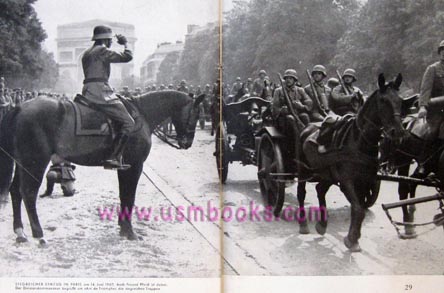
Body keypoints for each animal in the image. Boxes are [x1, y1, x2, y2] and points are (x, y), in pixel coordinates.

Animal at [0, 90, 205, 244]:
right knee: (28, 193)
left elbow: (124, 196)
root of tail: (19, 107)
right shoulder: (135, 166)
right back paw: (39, 235)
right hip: (35, 162)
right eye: (195, 114)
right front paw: (130, 232)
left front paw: (123, 228)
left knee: (15, 192)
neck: (141, 114)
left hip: (22, 163)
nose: (187, 143)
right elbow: (129, 197)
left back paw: (20, 232)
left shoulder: (124, 167)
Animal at [296, 73, 404, 251]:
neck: (359, 140)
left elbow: (359, 209)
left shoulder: (364, 181)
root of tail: (307, 127)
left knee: (320, 189)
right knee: (301, 193)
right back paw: (303, 224)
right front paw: (352, 239)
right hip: (303, 170)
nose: (399, 132)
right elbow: (358, 209)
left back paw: (322, 224)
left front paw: (354, 238)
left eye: (401, 100)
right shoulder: (347, 181)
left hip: (327, 173)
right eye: (383, 100)